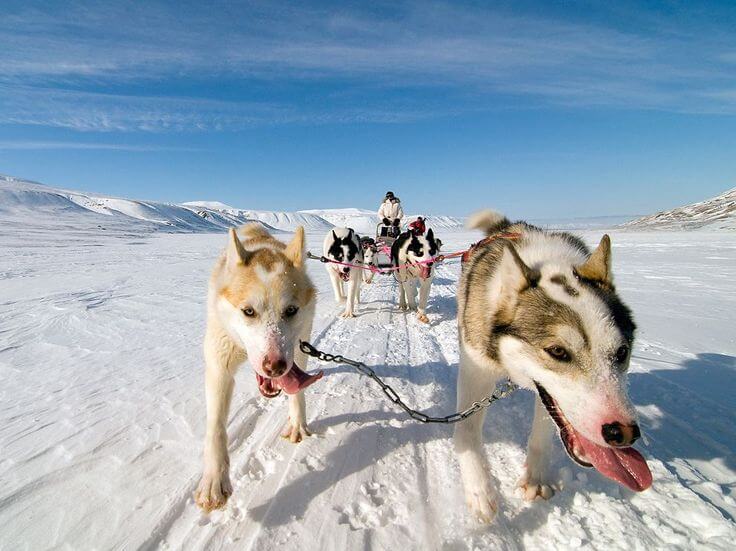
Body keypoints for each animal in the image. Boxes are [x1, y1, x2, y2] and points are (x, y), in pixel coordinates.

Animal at [194, 224, 320, 512]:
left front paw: (297, 423)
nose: (275, 366)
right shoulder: (219, 365)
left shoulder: (298, 350)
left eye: (291, 310)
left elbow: (297, 393)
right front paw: (214, 480)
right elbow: (216, 426)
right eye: (248, 311)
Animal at [454, 213, 648, 524]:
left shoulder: (549, 396)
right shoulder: (476, 369)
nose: (623, 433)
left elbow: (543, 434)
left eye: (622, 352)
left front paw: (535, 478)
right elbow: (467, 431)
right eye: (557, 351)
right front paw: (480, 491)